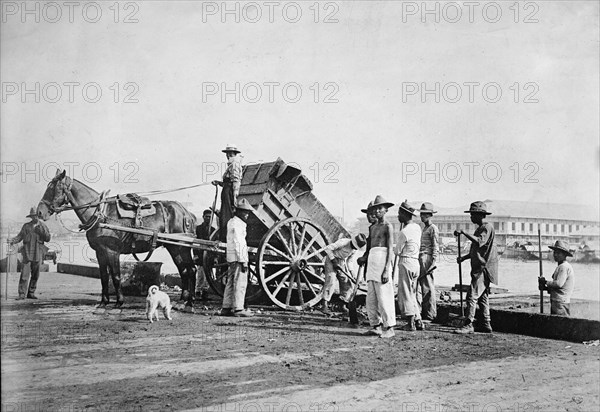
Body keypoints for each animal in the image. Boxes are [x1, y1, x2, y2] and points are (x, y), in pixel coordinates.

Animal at [37, 169, 197, 308]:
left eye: (53, 188)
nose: (39, 212)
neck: (100, 214)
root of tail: (186, 213)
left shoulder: (112, 251)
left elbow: (116, 276)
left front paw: (119, 301)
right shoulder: (100, 252)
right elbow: (104, 277)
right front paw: (104, 301)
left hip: (181, 246)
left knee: (191, 269)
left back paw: (190, 300)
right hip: (175, 248)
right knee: (184, 270)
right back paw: (183, 298)